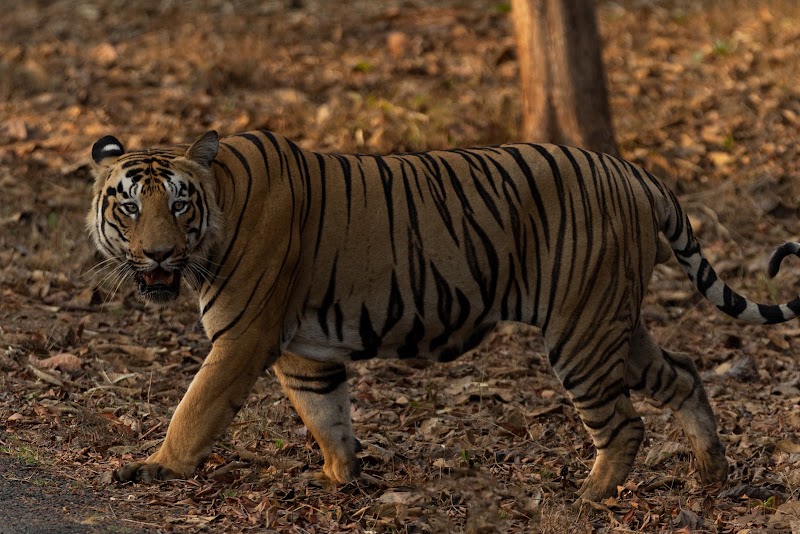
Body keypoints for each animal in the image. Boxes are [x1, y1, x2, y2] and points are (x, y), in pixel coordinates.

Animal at [87, 129, 800, 502]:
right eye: (129, 205)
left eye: (179, 205)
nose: (158, 253)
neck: (221, 202)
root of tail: (632, 171)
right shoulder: (302, 351)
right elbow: (326, 415)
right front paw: (340, 477)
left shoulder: (243, 339)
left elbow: (194, 408)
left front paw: (156, 467)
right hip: (613, 323)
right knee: (684, 374)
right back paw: (710, 474)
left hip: (580, 331)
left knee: (623, 423)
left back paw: (588, 499)